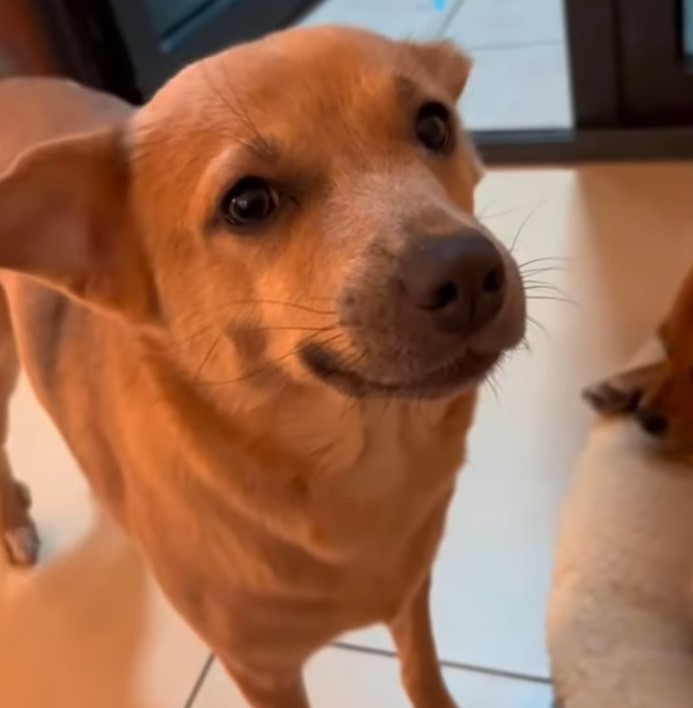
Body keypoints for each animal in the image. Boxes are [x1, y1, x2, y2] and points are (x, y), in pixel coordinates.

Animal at [0, 27, 520, 708]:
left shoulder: (413, 594)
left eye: (434, 124)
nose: (468, 273)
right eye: (247, 203)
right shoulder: (263, 671)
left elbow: (422, 672)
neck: (360, 470)